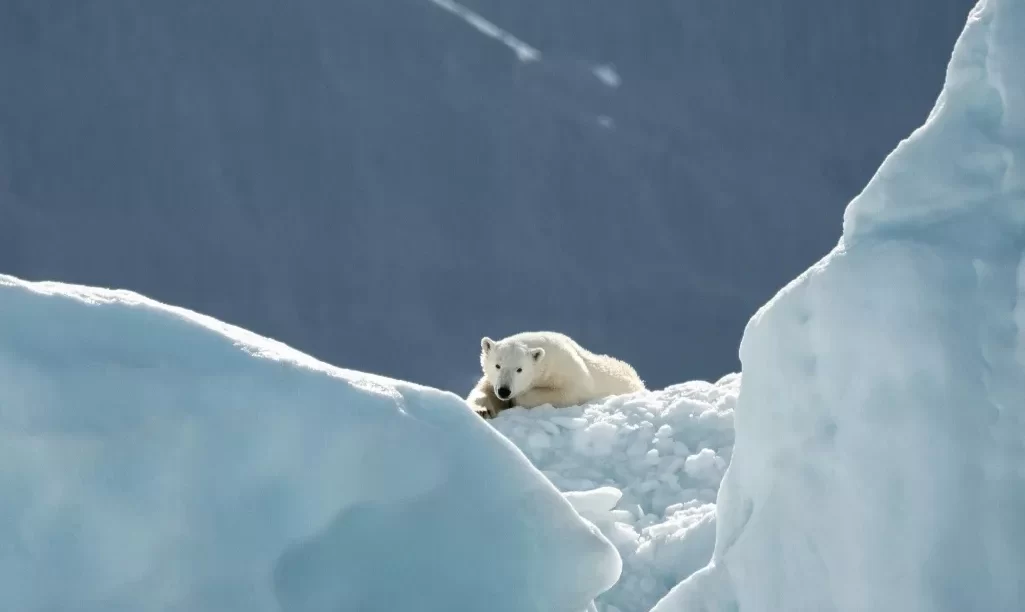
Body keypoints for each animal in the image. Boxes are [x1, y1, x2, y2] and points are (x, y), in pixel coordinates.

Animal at [465, 330, 639, 416]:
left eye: (519, 369)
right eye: (498, 365)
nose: (504, 391)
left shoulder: (568, 372)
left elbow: (568, 394)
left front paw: (516, 400)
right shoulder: (492, 380)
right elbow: (483, 390)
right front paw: (482, 410)